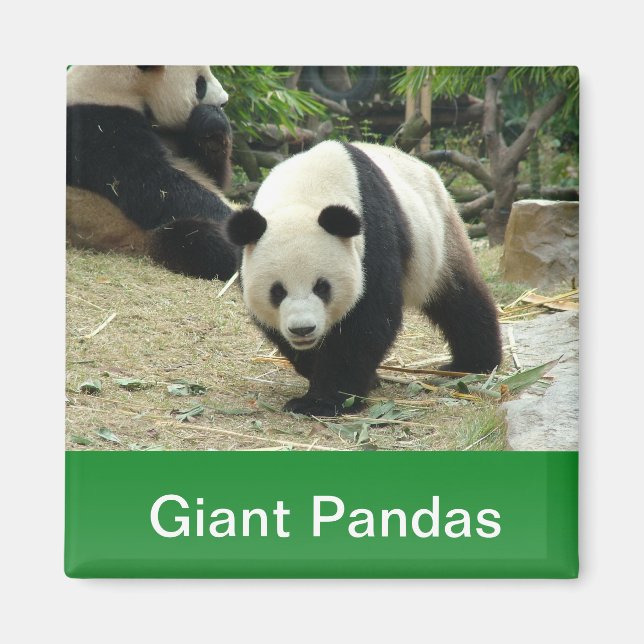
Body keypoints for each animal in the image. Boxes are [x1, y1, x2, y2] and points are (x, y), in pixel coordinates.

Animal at [67, 65, 239, 280]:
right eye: (200, 84)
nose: (224, 101)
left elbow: (212, 176)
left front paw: (212, 125)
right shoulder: (97, 130)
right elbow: (154, 186)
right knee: (197, 239)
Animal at [226, 140, 502, 417]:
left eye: (322, 287)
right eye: (278, 291)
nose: (303, 329)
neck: (303, 192)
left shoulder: (373, 238)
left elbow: (367, 322)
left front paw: (322, 401)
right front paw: (330, 374)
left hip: (439, 238)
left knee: (460, 301)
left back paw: (473, 363)